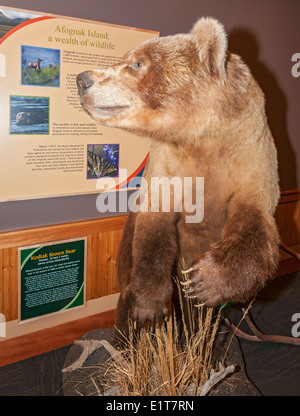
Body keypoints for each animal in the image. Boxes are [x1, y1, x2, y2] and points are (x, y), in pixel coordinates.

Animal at [77, 17, 278, 334]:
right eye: (127, 58)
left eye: (137, 63)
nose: (82, 79)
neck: (200, 139)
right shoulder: (166, 167)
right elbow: (154, 228)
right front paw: (149, 309)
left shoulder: (249, 152)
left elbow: (254, 220)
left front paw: (204, 281)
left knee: (196, 317)